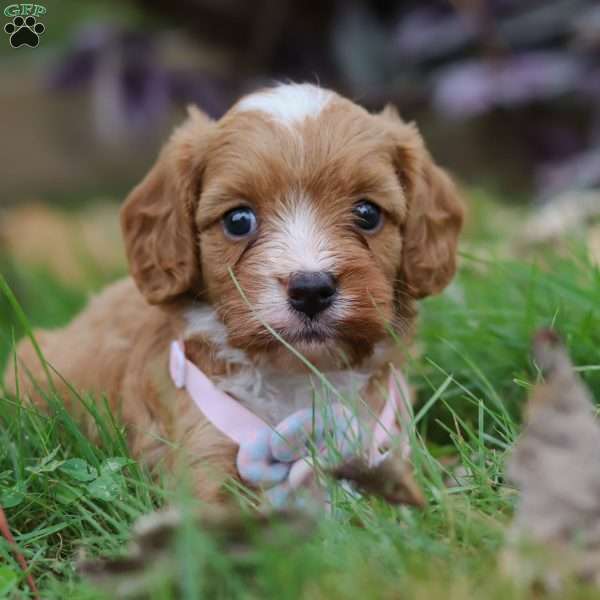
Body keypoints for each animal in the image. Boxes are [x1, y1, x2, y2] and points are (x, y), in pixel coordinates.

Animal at [4, 81, 464, 502]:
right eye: (238, 221)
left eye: (367, 213)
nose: (311, 289)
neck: (298, 374)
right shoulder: (203, 466)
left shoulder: (391, 447)